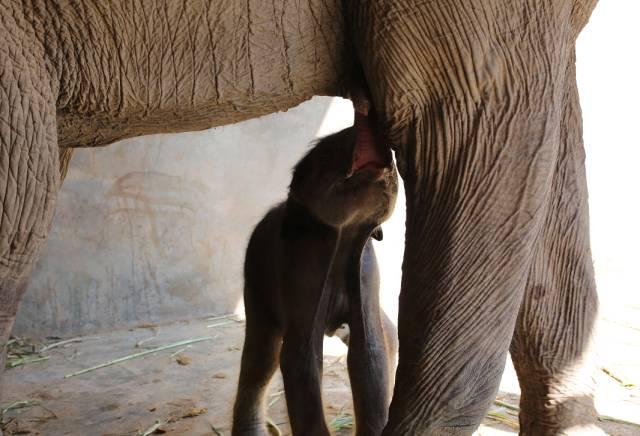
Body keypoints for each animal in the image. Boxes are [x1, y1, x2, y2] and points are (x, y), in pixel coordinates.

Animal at [232, 113, 398, 436]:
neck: (345, 237)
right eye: (328, 146)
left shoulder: (366, 272)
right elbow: (301, 360)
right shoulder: (299, 269)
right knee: (260, 358)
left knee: (389, 335)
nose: (365, 122)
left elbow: (370, 352)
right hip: (256, 282)